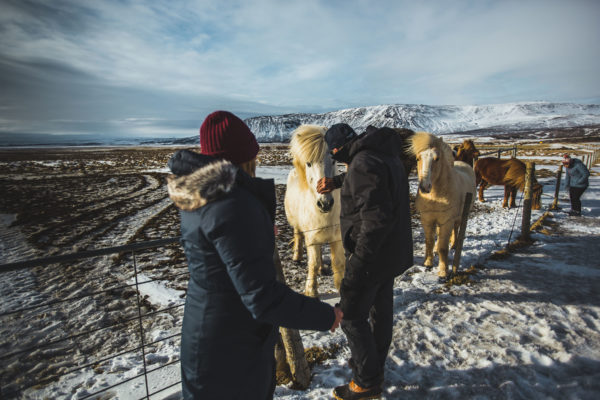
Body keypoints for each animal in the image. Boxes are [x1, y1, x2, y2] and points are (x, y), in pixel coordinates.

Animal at [284, 125, 344, 296]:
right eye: (309, 163)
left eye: (334, 160)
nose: (325, 204)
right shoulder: (311, 238)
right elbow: (313, 262)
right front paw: (311, 291)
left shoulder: (337, 237)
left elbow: (338, 262)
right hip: (298, 226)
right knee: (298, 236)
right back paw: (297, 257)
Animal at [410, 131, 476, 278]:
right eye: (418, 158)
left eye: (437, 159)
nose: (424, 187)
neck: (435, 196)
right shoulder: (427, 219)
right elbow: (429, 241)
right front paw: (428, 263)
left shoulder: (447, 220)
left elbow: (443, 247)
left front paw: (443, 271)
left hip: (459, 216)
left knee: (456, 229)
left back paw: (455, 245)